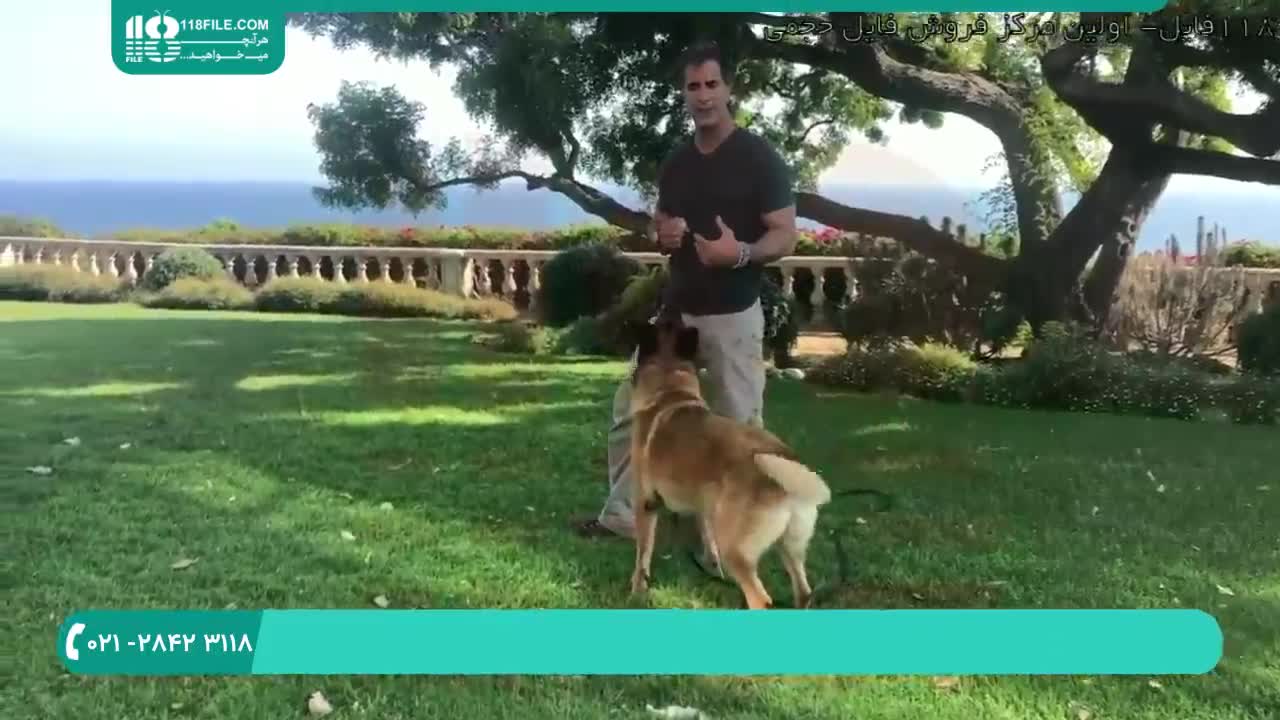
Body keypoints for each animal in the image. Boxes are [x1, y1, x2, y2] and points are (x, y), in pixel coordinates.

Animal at [626, 317, 833, 609]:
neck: (670, 389)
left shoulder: (645, 503)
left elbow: (642, 556)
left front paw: (637, 592)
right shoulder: (703, 506)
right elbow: (708, 540)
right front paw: (713, 569)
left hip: (736, 551)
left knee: (761, 599)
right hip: (790, 548)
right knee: (803, 592)